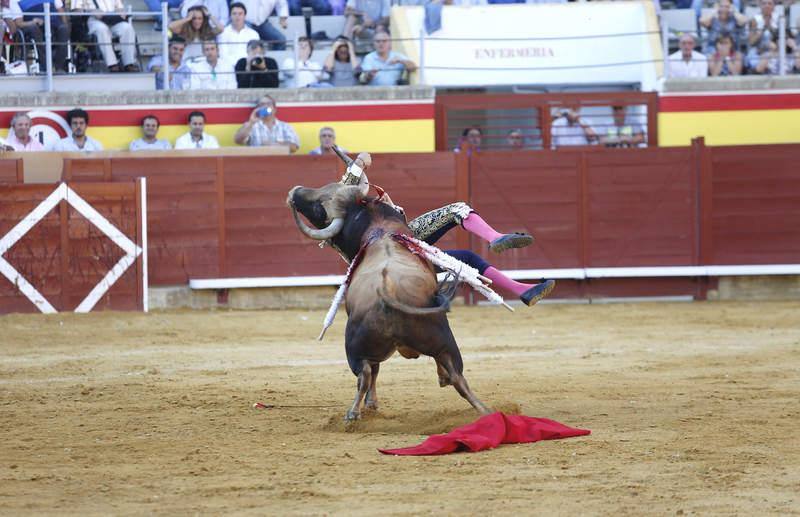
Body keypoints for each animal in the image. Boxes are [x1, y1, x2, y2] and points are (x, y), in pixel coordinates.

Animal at [284, 153, 490, 420]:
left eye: (319, 206)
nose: (295, 191)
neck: (379, 228)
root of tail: (389, 292)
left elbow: (375, 370)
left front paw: (372, 403)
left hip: (357, 346)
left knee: (366, 372)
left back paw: (354, 412)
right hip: (442, 338)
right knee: (456, 374)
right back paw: (483, 408)